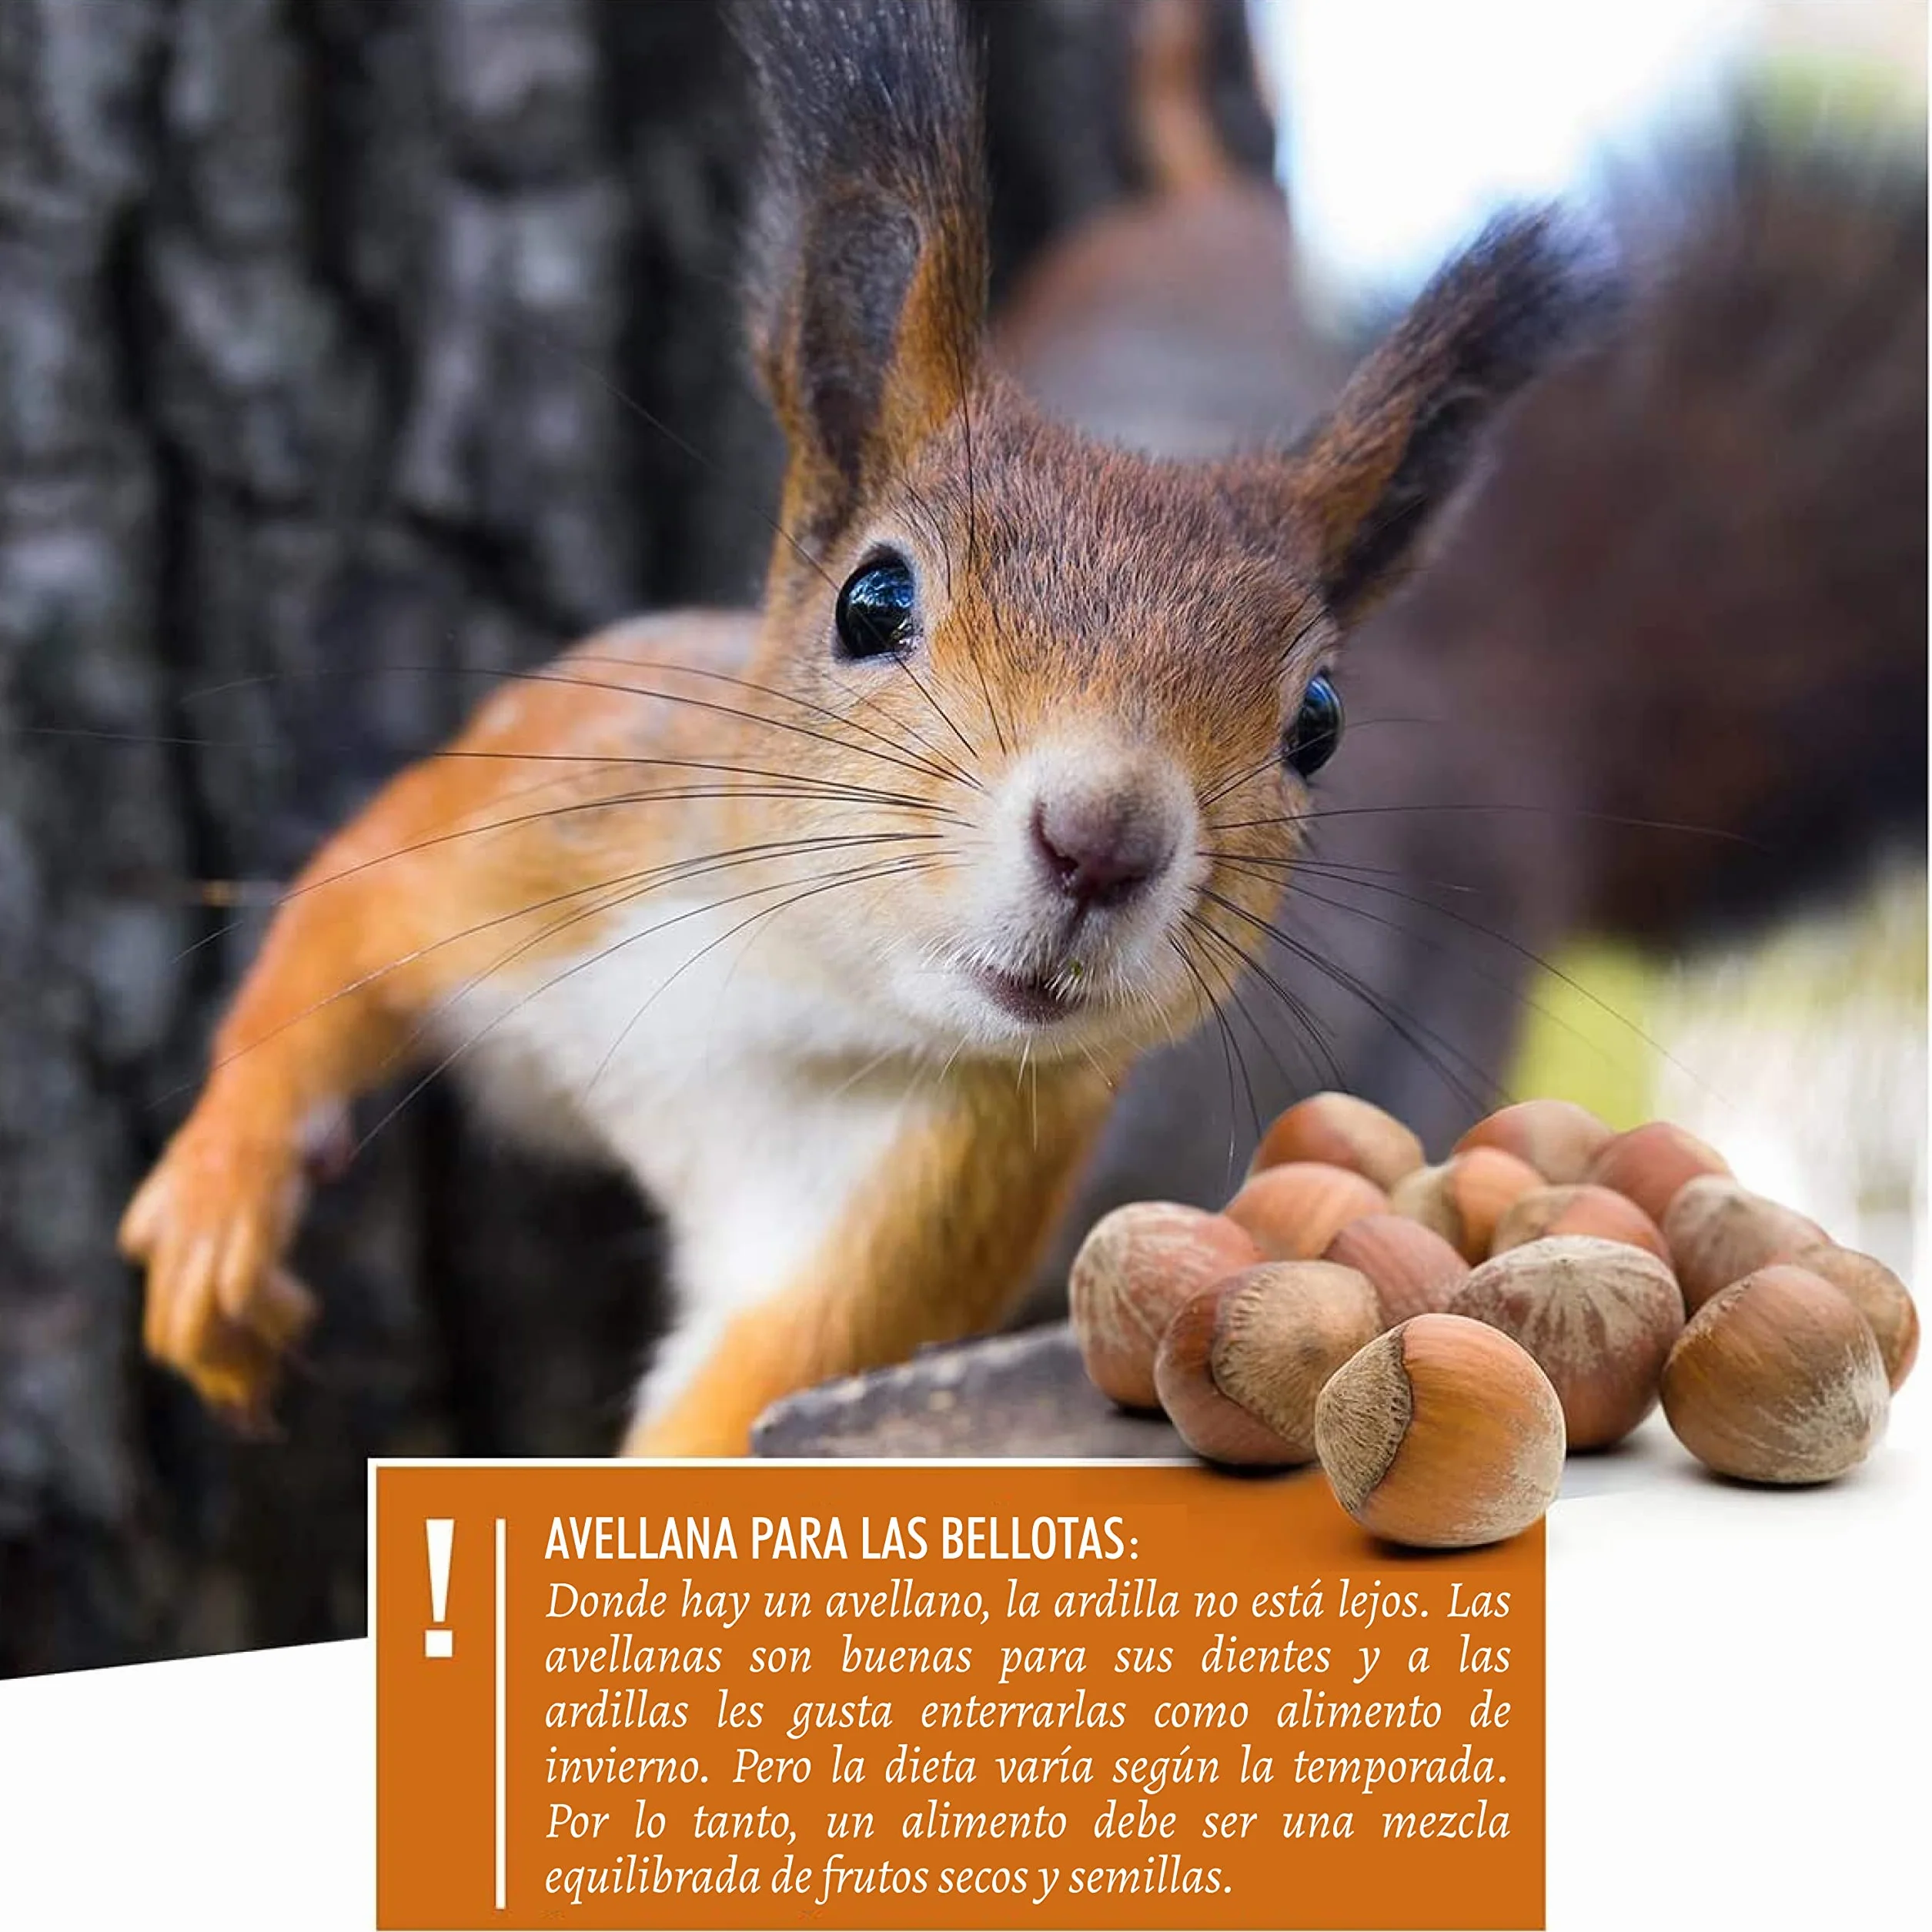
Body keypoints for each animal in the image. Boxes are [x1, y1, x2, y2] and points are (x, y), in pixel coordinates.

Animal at [117, 0, 1601, 1456]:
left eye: (1319, 725)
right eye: (870, 598)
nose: (1102, 843)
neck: (783, 970)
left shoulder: (929, 1197)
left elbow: (747, 1401)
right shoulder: (552, 805)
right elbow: (339, 917)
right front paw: (220, 1195)